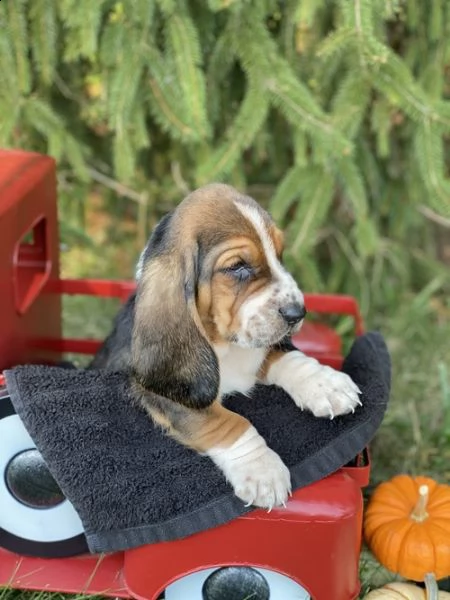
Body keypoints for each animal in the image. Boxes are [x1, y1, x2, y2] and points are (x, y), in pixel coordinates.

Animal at [92, 182, 362, 506]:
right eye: (238, 267)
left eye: (279, 254)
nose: (297, 313)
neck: (224, 346)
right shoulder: (164, 394)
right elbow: (226, 421)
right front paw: (262, 470)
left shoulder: (260, 347)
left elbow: (283, 356)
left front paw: (325, 383)